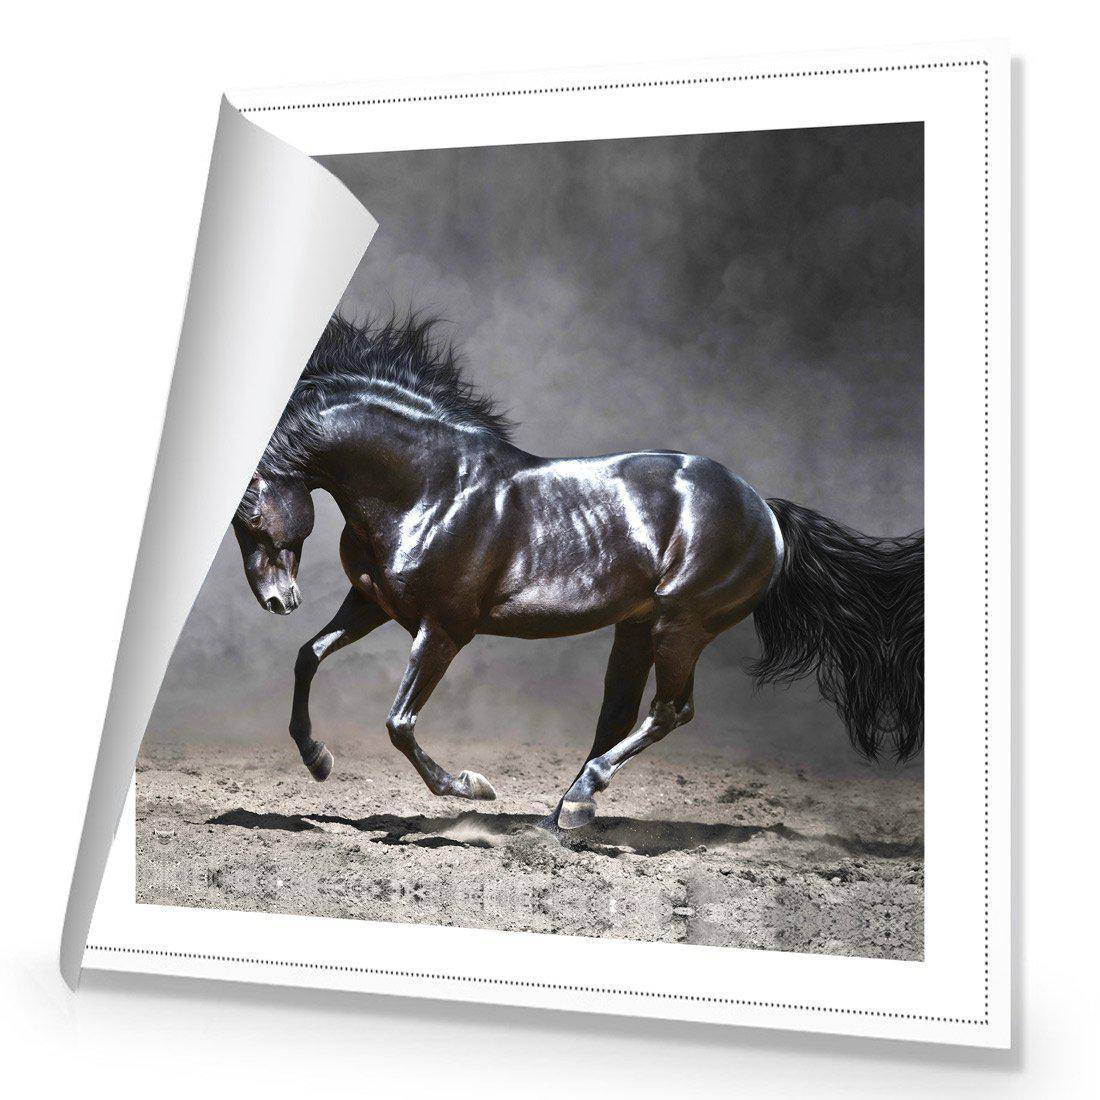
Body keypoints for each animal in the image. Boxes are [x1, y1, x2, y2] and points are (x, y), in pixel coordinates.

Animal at [232, 314, 923, 830]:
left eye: (248, 510)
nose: (276, 599)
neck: (430, 488)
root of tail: (766, 510)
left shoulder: (445, 628)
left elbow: (399, 723)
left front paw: (472, 788)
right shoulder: (372, 603)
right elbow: (308, 655)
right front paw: (318, 760)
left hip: (682, 624)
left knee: (671, 710)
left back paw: (579, 802)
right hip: (638, 627)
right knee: (619, 714)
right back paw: (563, 814)